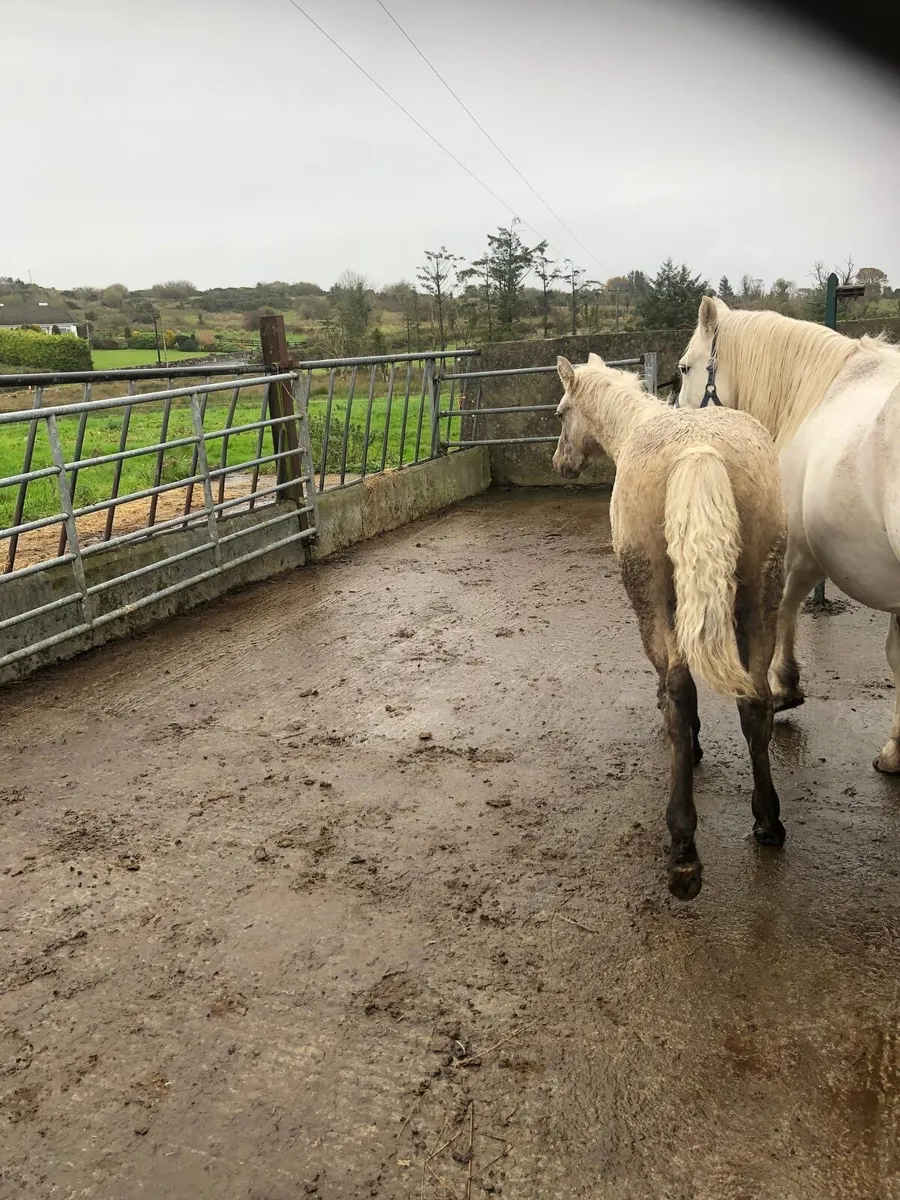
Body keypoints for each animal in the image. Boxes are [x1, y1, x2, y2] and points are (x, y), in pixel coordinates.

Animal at [552, 352, 787, 899]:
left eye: (560, 413)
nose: (558, 464)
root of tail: (699, 454)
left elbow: (670, 688)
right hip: (761, 600)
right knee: (756, 700)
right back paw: (767, 822)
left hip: (653, 601)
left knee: (681, 691)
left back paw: (683, 852)